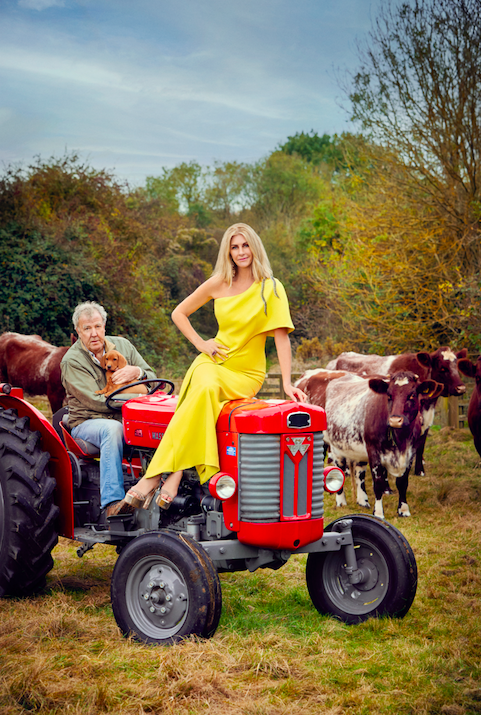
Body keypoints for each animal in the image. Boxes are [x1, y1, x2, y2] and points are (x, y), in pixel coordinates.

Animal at [294, 372, 436, 516]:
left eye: (412, 394)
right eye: (389, 395)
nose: (395, 420)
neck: (401, 440)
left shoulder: (410, 453)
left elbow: (402, 482)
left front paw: (403, 509)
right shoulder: (374, 451)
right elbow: (378, 484)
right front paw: (378, 513)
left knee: (359, 473)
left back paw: (362, 501)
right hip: (333, 446)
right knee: (339, 469)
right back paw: (341, 501)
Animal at [326, 352, 464, 478]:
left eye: (456, 365)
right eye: (442, 367)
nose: (461, 388)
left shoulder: (426, 421)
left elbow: (421, 445)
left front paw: (420, 470)